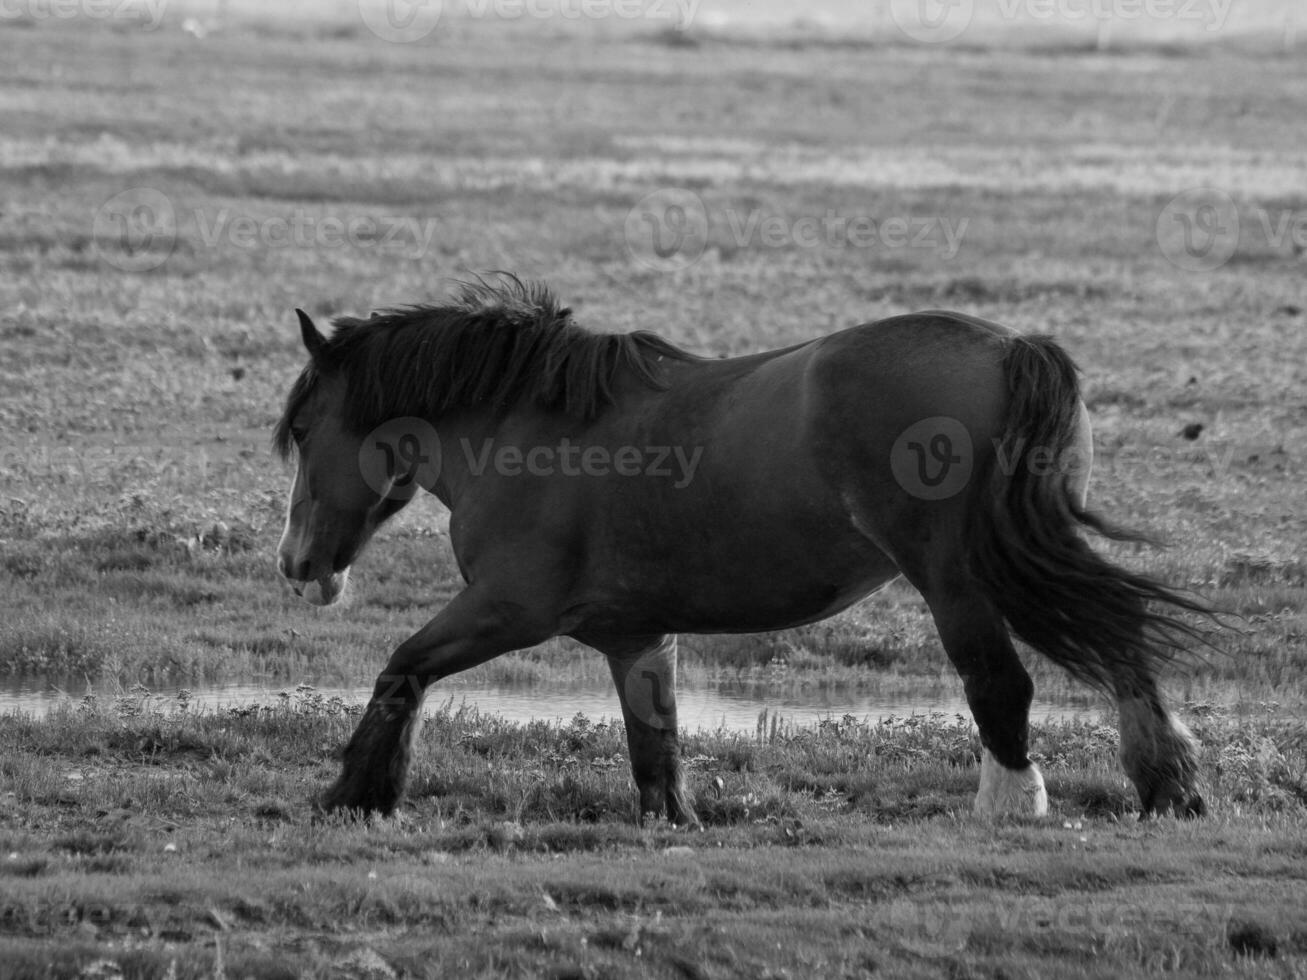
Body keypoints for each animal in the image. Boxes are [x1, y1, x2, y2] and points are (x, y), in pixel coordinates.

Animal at [275, 278, 1212, 831]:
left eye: (306, 426)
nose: (297, 567)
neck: (526, 426)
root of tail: (1009, 348)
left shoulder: (507, 609)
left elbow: (402, 669)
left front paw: (354, 793)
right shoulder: (636, 638)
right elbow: (655, 748)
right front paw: (672, 826)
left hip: (956, 579)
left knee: (1001, 682)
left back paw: (1012, 806)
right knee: (1121, 647)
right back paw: (1168, 787)